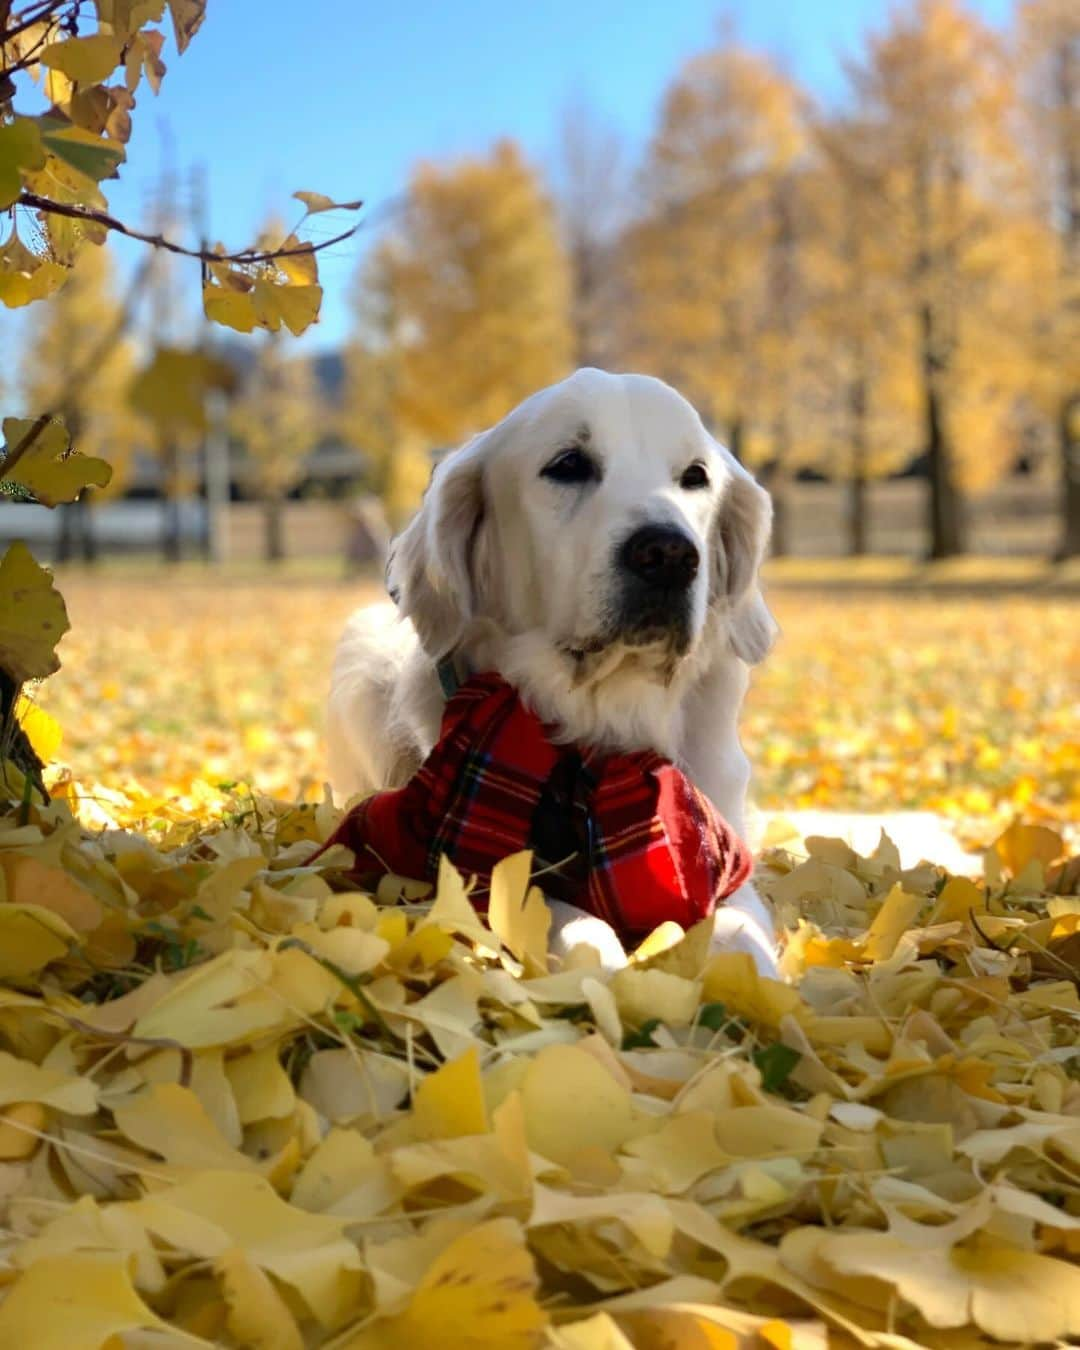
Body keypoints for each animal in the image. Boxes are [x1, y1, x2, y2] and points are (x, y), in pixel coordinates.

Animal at [325, 375, 783, 977]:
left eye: (695, 476)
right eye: (568, 464)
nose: (668, 553)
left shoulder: (718, 847)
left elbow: (743, 933)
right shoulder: (485, 867)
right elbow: (568, 919)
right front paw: (604, 975)